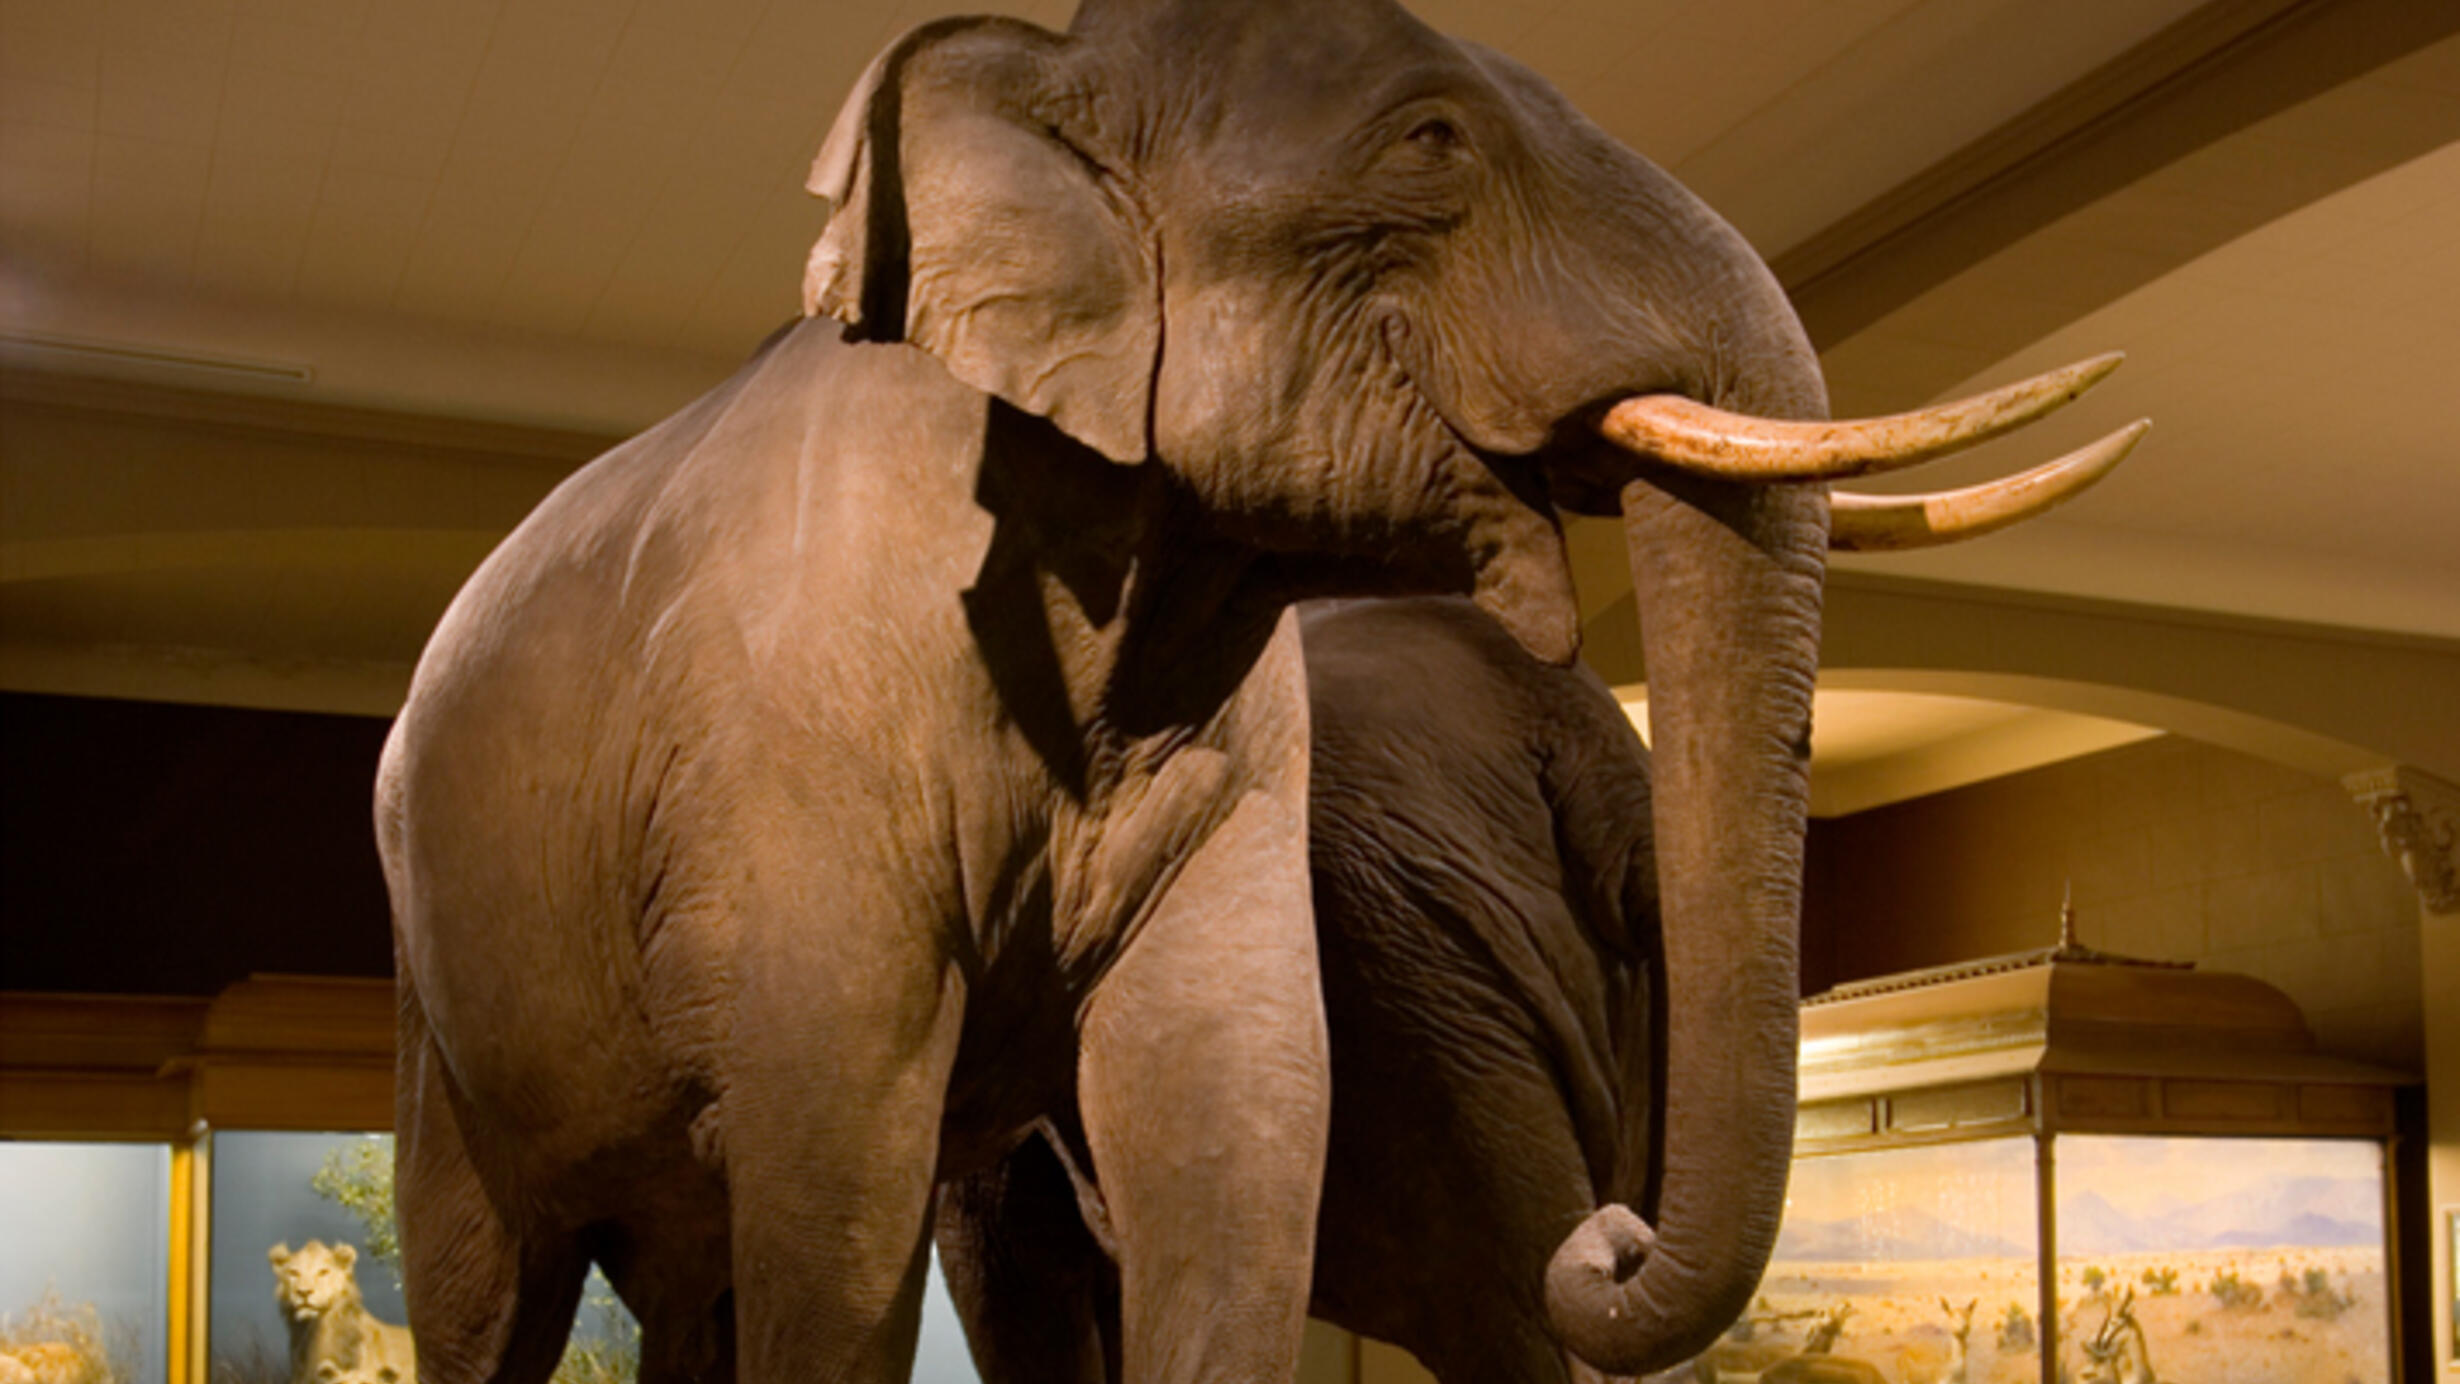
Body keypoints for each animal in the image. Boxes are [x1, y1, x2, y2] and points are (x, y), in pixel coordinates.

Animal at [378, 2, 2135, 1384]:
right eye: (1431, 139)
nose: (1615, 1241)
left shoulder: (1252, 770)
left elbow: (1235, 1121)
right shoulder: (796, 747)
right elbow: (841, 1171)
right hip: (431, 987)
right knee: (491, 1290)